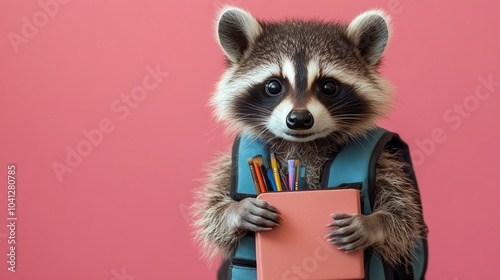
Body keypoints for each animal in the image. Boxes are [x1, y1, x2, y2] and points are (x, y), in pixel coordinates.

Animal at [191, 4, 426, 278]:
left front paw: (372, 224)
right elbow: (211, 212)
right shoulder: (227, 166)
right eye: (273, 86)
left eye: (328, 87)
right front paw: (236, 211)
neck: (303, 144)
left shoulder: (386, 164)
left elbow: (404, 216)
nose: (299, 119)